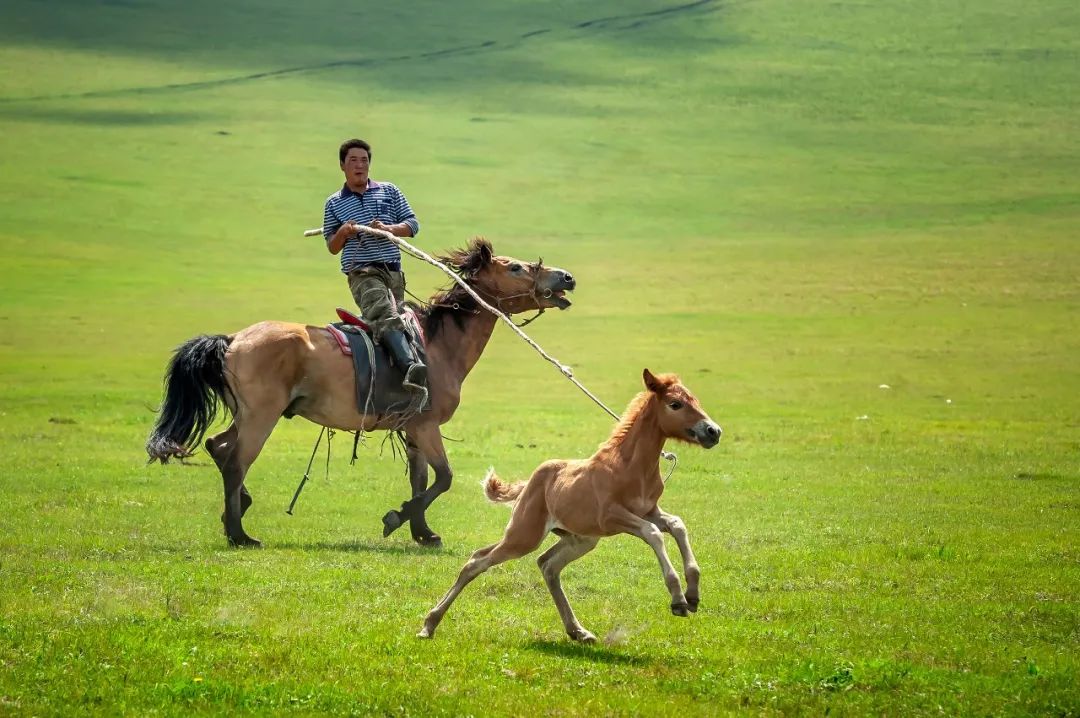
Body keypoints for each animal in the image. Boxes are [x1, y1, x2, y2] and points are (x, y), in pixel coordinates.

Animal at [150, 237, 583, 546]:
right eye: (515, 267)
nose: (566, 278)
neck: (438, 345)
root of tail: (233, 340)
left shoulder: (413, 429)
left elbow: (420, 479)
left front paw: (423, 533)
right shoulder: (427, 426)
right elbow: (443, 479)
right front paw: (396, 519)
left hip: (246, 415)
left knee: (218, 447)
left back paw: (236, 512)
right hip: (261, 417)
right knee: (235, 461)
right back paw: (240, 534)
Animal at [416, 367, 721, 639]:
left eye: (695, 399)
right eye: (675, 404)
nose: (713, 431)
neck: (631, 465)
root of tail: (530, 483)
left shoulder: (649, 510)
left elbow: (677, 525)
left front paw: (693, 594)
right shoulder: (612, 516)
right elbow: (654, 533)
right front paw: (678, 599)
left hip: (580, 539)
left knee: (547, 565)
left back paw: (578, 631)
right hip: (524, 535)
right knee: (477, 561)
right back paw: (428, 625)